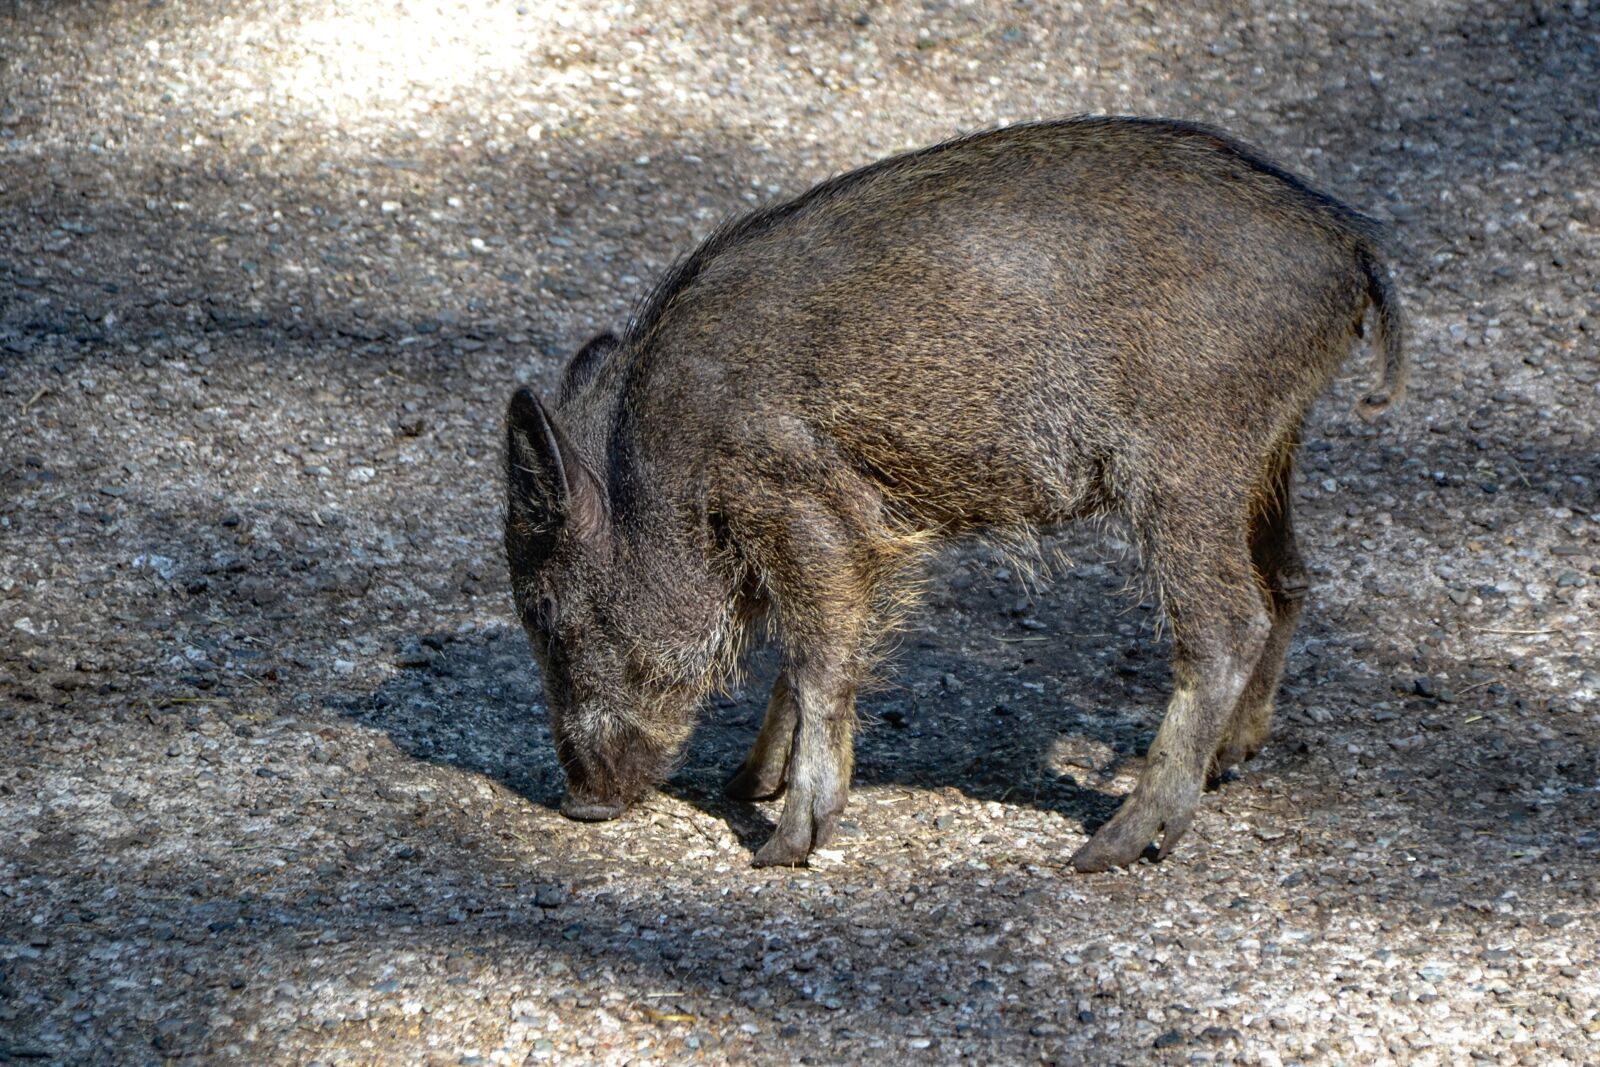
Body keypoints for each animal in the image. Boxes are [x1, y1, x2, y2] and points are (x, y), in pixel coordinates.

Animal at [504, 116, 1406, 872]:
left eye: (547, 613)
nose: (580, 803)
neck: (655, 456)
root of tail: (1349, 246)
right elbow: (805, 659)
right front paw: (744, 784)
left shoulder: (802, 509)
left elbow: (820, 660)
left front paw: (783, 844)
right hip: (1264, 459)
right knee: (1289, 581)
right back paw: (1228, 765)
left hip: (1187, 470)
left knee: (1228, 625)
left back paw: (1110, 847)